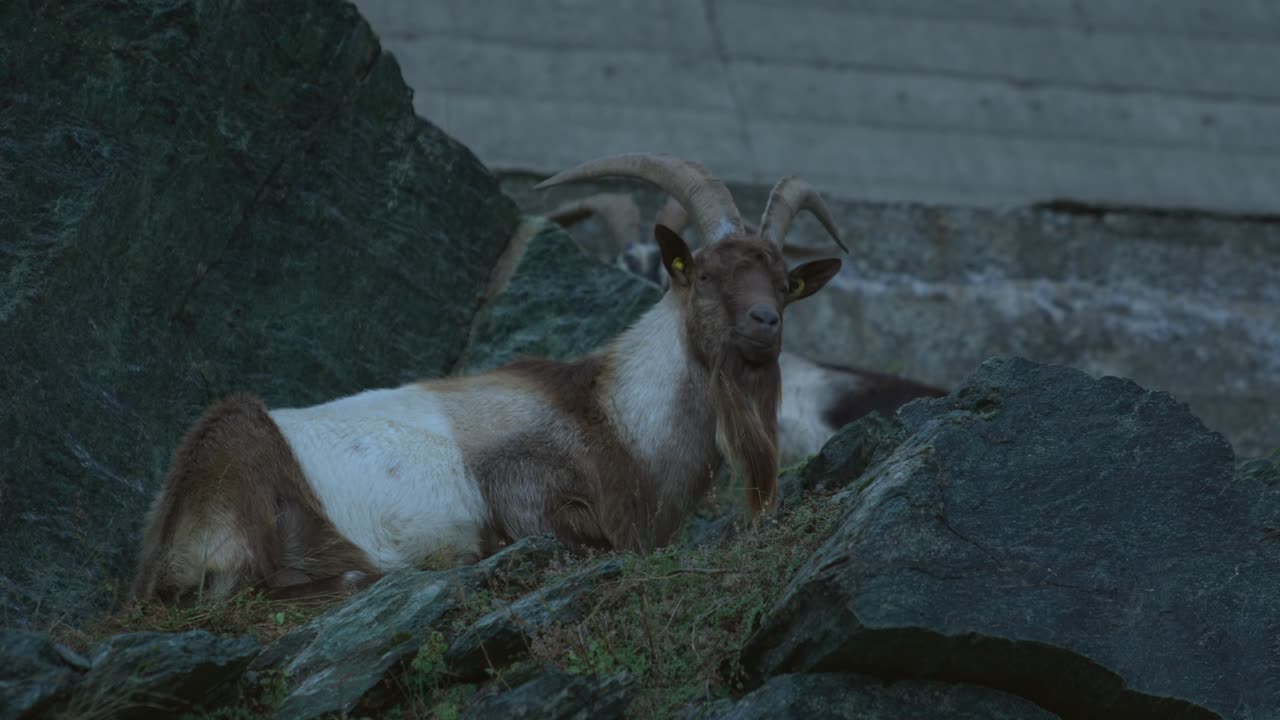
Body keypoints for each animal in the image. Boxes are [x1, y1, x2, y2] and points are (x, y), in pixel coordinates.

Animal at [129, 153, 848, 604]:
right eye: (704, 273)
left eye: (784, 285)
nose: (764, 324)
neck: (616, 419)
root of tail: (161, 543)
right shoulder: (523, 485)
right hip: (246, 473)